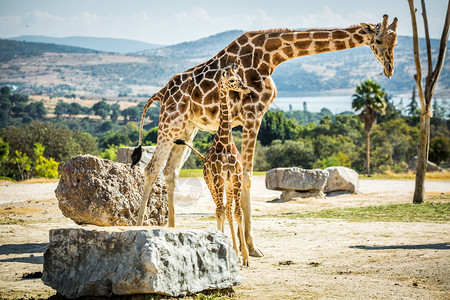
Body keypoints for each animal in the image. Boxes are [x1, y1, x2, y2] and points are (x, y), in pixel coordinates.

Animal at [174, 65, 251, 264]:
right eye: (231, 80)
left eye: (240, 77)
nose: (247, 89)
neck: (225, 142)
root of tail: (203, 160)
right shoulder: (218, 178)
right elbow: (220, 211)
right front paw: (223, 245)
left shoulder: (236, 178)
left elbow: (238, 212)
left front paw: (245, 257)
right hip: (211, 183)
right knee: (219, 209)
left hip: (228, 184)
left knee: (229, 210)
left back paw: (236, 251)